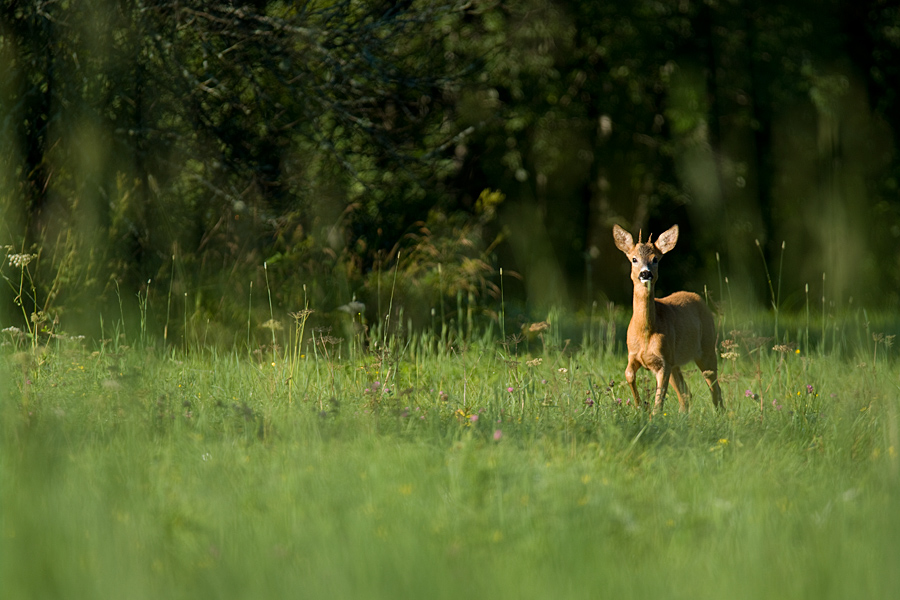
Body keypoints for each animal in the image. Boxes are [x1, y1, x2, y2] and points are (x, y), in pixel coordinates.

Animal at [612, 223, 724, 414]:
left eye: (655, 259)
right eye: (634, 259)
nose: (645, 274)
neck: (645, 333)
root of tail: (699, 299)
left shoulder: (664, 362)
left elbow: (659, 401)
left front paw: (652, 415)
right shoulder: (633, 355)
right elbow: (628, 375)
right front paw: (639, 406)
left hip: (707, 347)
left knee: (714, 386)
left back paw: (720, 414)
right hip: (676, 361)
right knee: (686, 393)